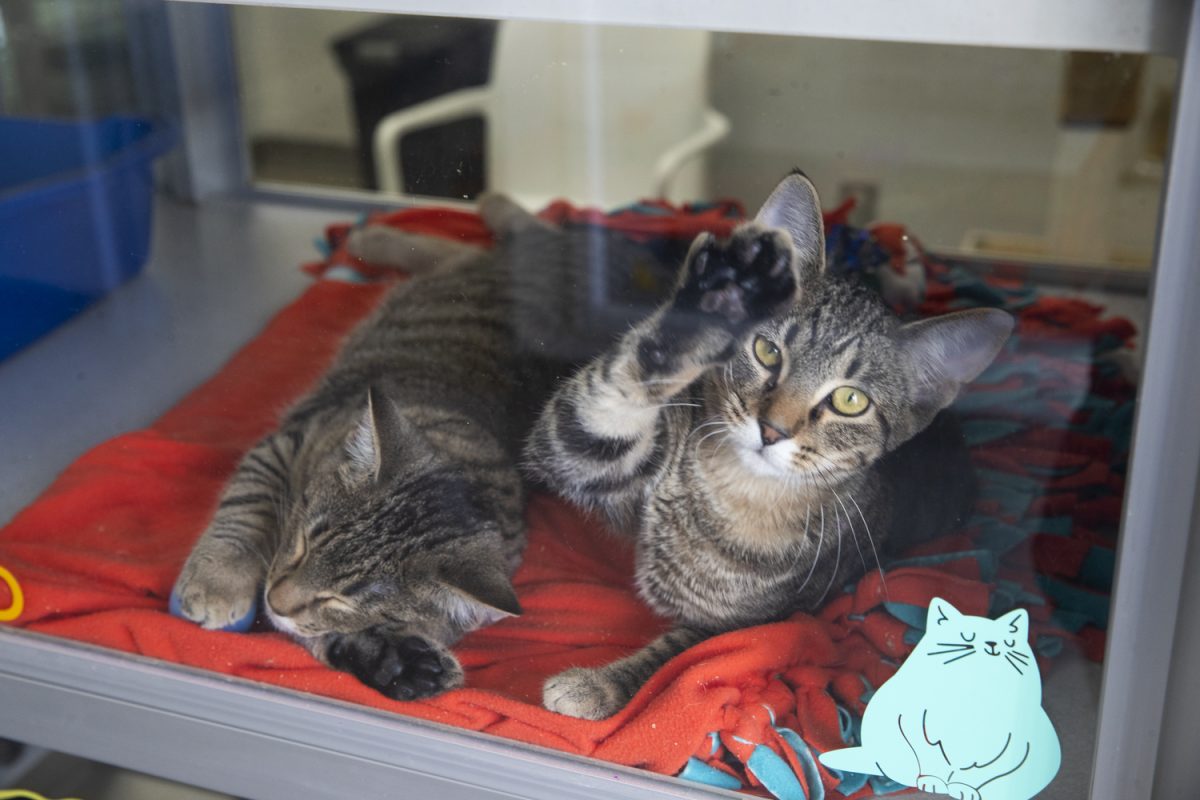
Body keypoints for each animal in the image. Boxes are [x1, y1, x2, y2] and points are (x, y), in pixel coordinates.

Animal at [525, 172, 1012, 724]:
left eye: (849, 400)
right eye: (767, 351)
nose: (772, 429)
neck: (733, 491)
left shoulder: (752, 623)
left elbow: (676, 657)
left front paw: (600, 684)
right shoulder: (585, 454)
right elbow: (594, 419)